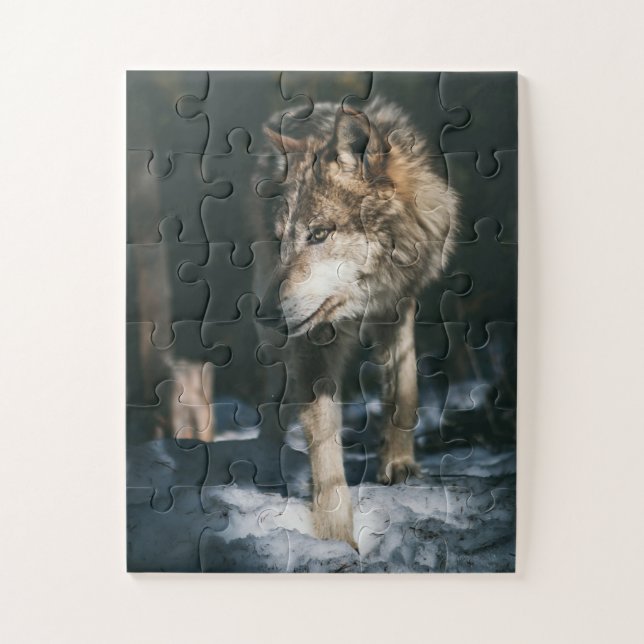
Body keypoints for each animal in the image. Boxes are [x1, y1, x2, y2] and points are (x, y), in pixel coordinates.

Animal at [258, 98, 459, 548]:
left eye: (319, 234)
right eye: (281, 241)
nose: (262, 312)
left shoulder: (399, 305)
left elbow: (405, 391)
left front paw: (398, 462)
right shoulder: (313, 341)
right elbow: (323, 439)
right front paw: (335, 533)